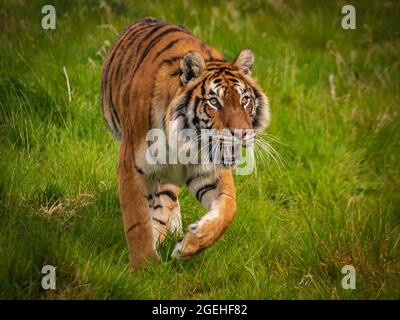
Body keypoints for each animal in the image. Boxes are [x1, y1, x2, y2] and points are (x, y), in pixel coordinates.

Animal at [101, 17, 268, 268]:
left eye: (245, 99)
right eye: (214, 101)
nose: (242, 133)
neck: (186, 140)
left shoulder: (209, 170)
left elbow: (228, 209)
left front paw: (190, 244)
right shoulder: (131, 166)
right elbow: (137, 219)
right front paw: (144, 267)